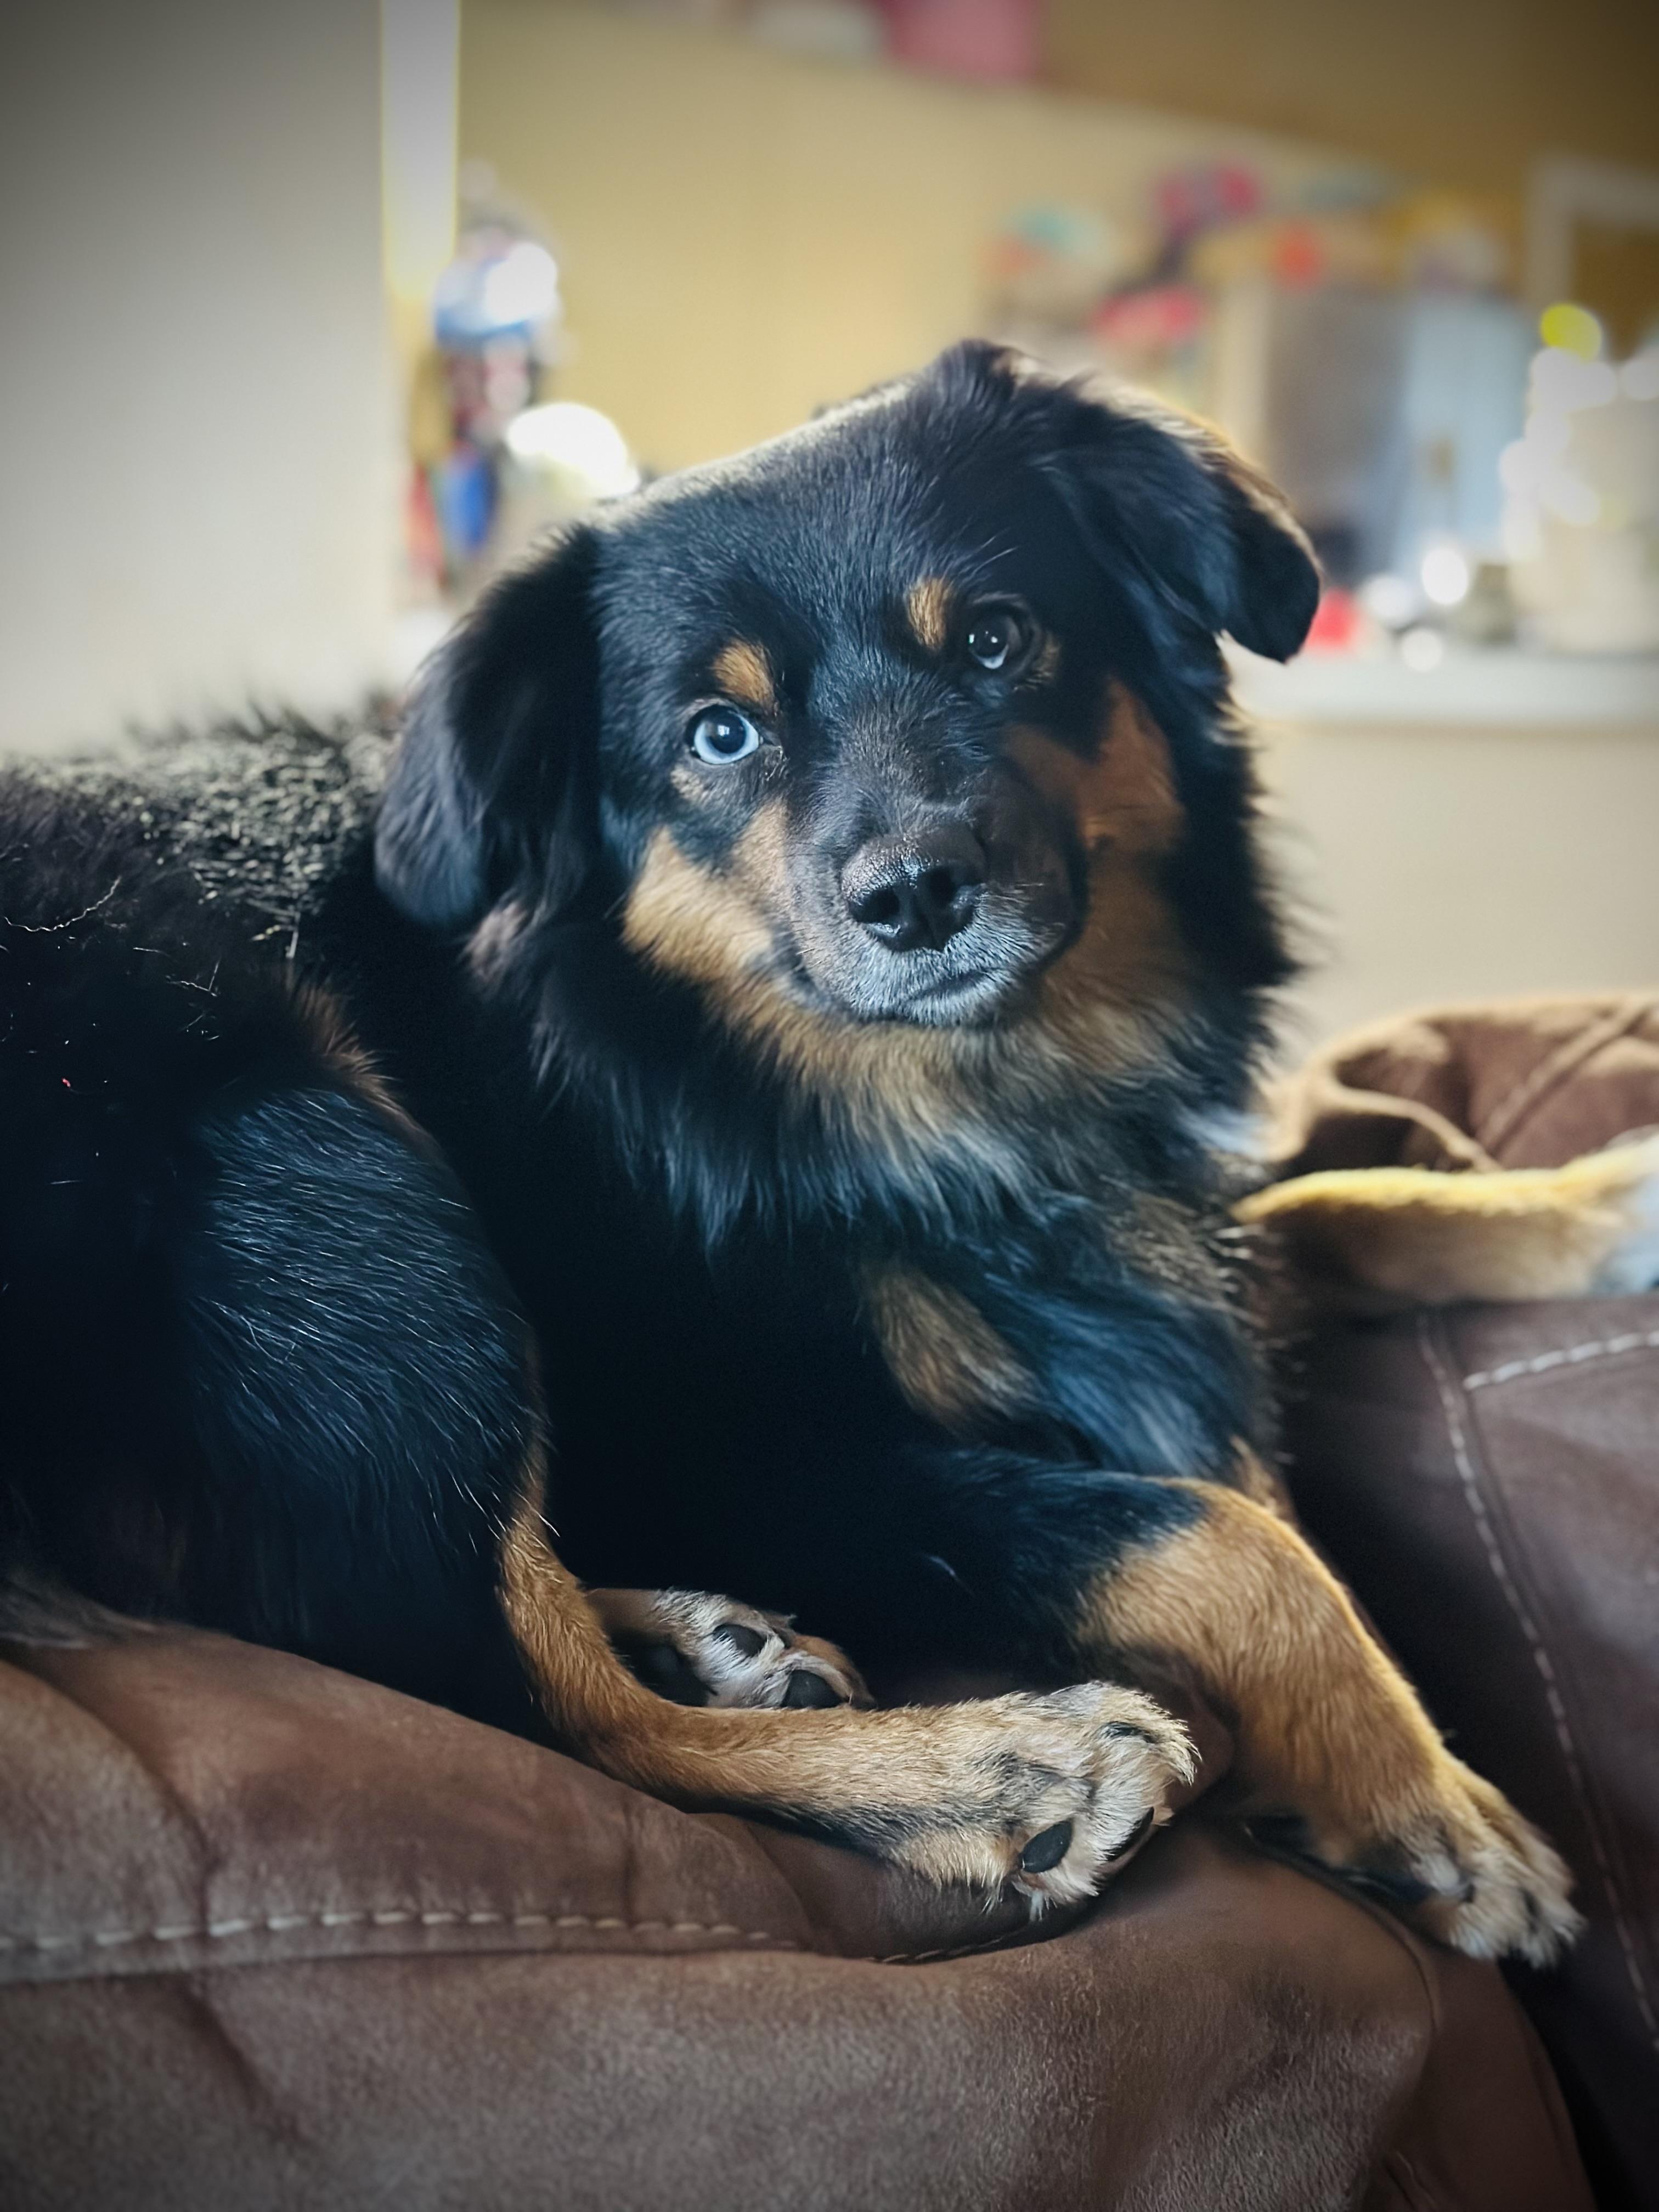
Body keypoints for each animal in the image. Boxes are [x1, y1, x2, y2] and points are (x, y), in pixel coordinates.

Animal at [8, 341, 1649, 1955]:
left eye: (995, 640)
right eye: (719, 735)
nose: (917, 895)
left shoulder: (1149, 1221)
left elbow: (1327, 1198)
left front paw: (1603, 1203)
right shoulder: (728, 1445)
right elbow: (1216, 1529)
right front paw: (1422, 1795)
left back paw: (712, 1641)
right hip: (351, 1184)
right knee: (526, 1704)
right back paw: (998, 1768)